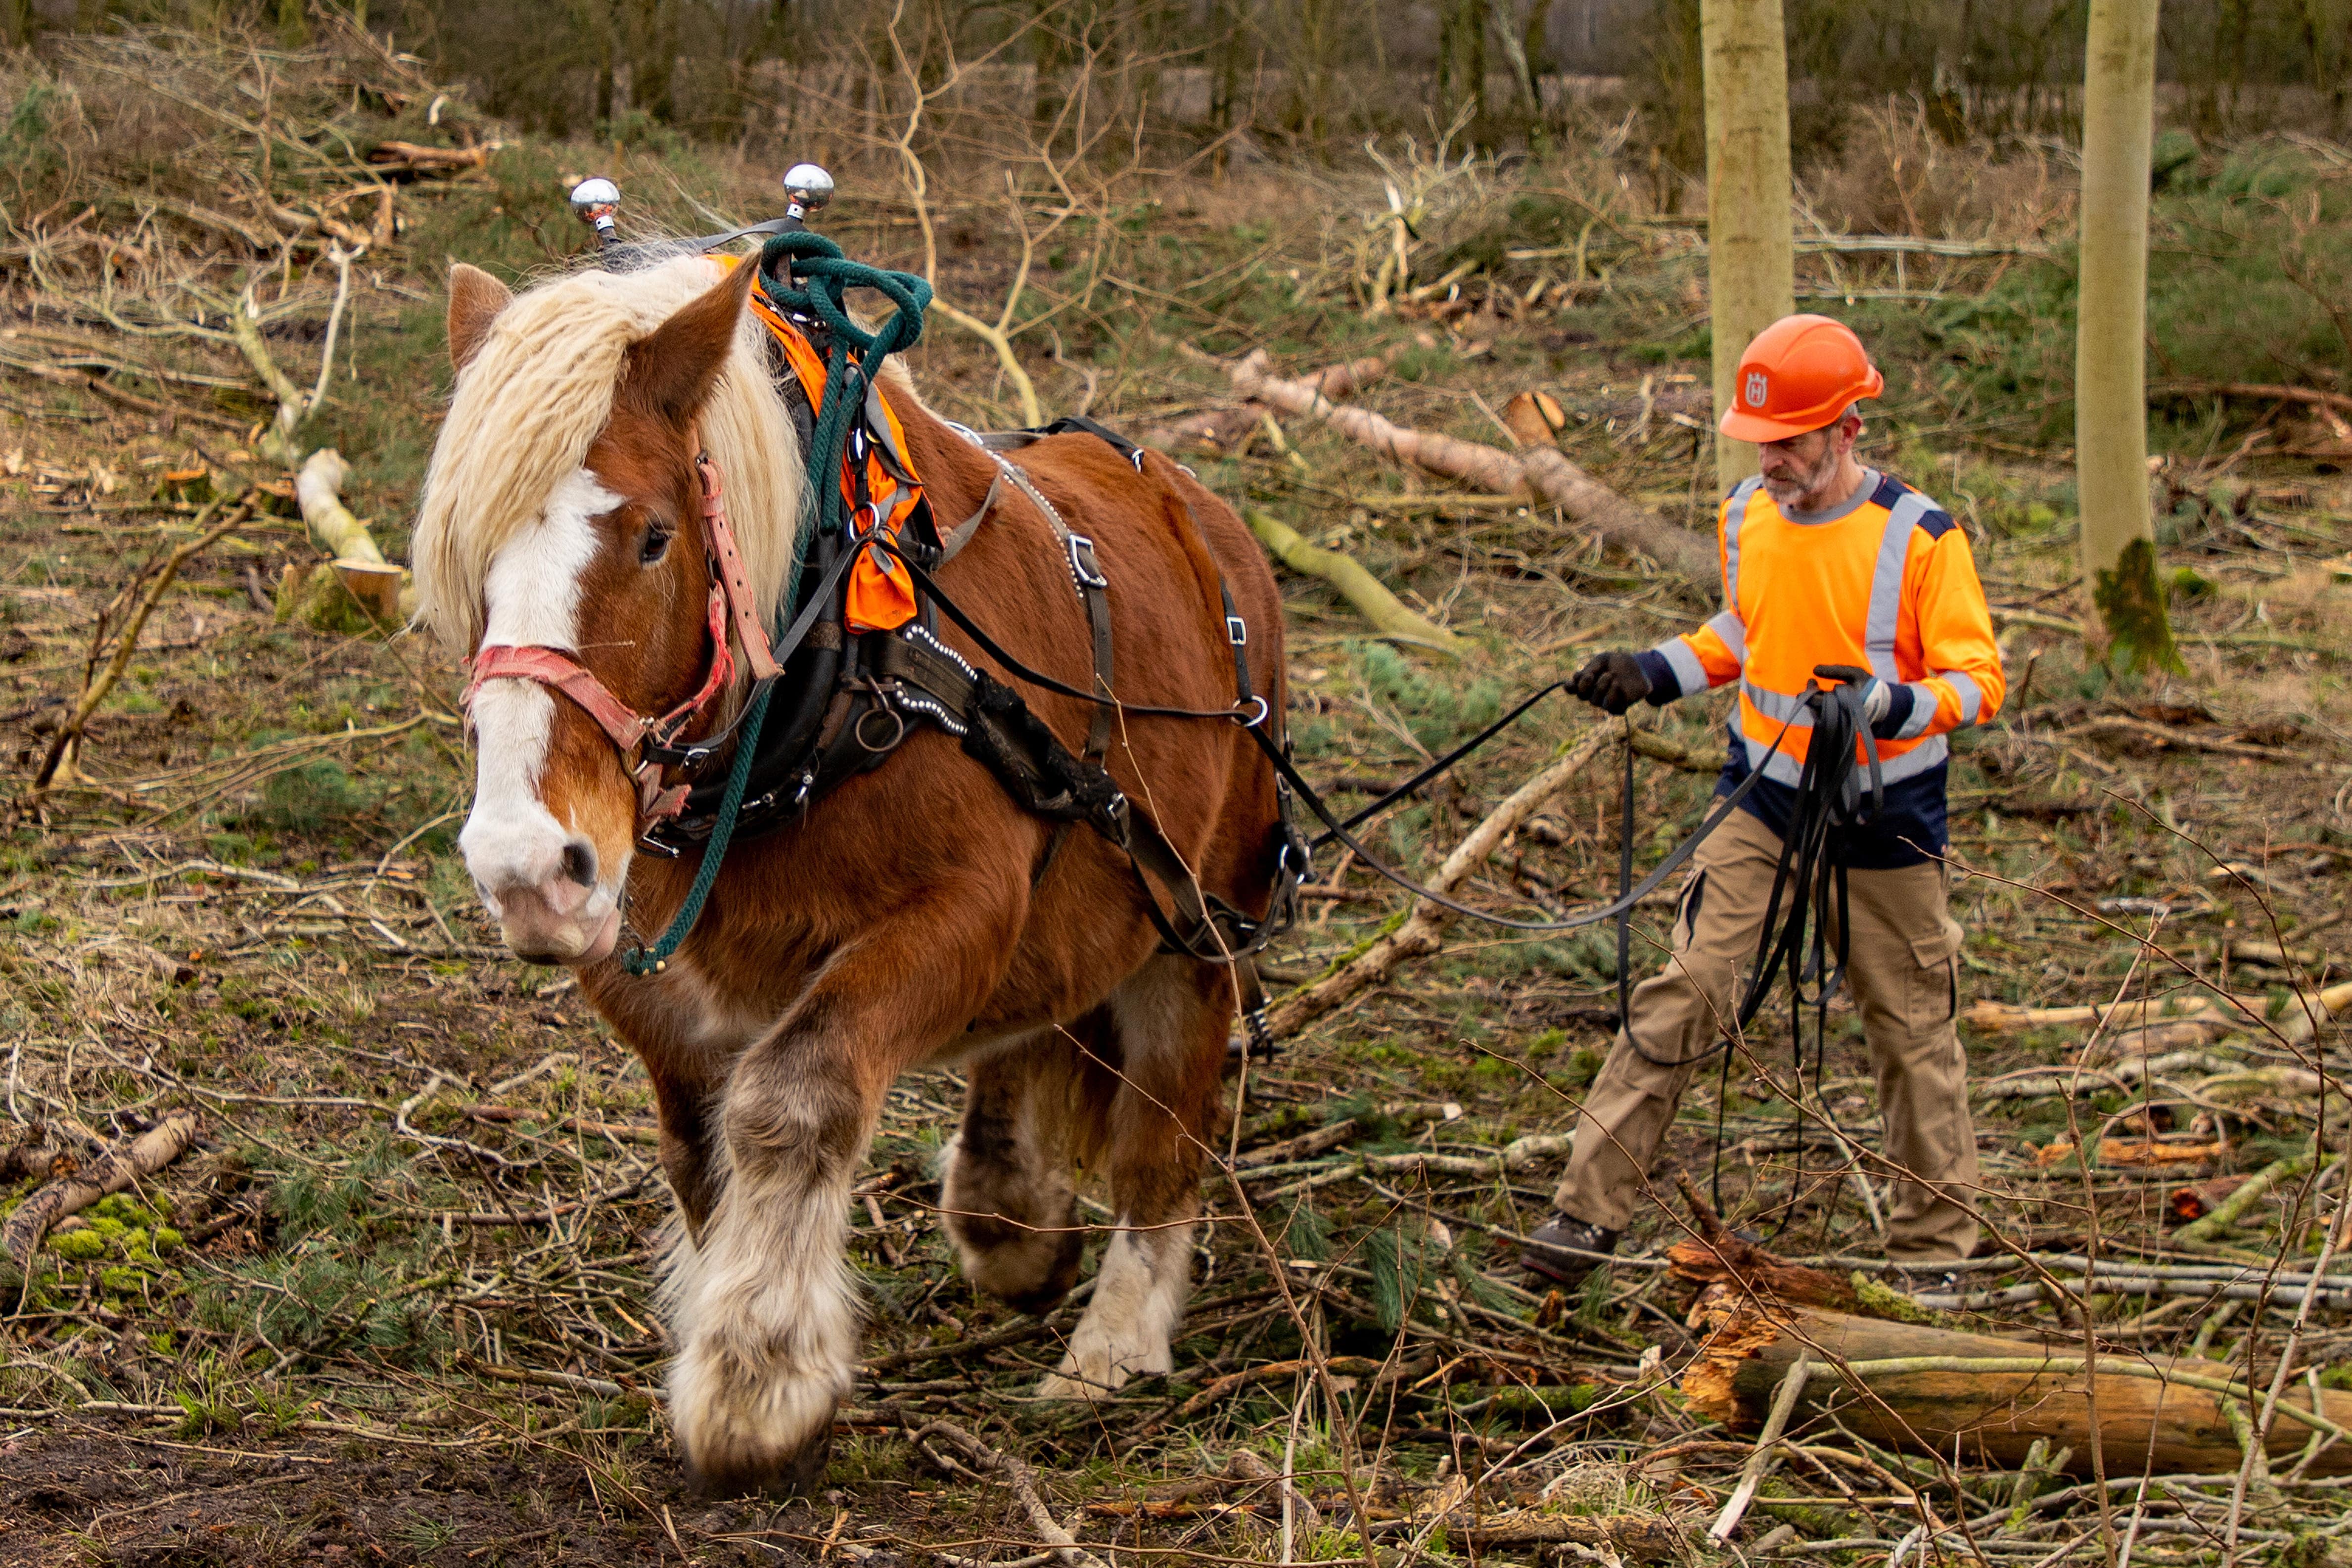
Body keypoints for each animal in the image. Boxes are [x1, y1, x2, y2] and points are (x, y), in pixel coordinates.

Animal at [409, 251, 1289, 1495]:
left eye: (652, 537)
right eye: (468, 548)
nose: (526, 867)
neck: (826, 678)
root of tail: (1205, 516)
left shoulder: (959, 910)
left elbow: (795, 1092)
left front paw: (757, 1378)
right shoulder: (640, 966)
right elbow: (699, 1151)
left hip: (1198, 918)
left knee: (1167, 1119)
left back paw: (1114, 1338)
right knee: (1031, 1031)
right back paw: (1007, 1212)